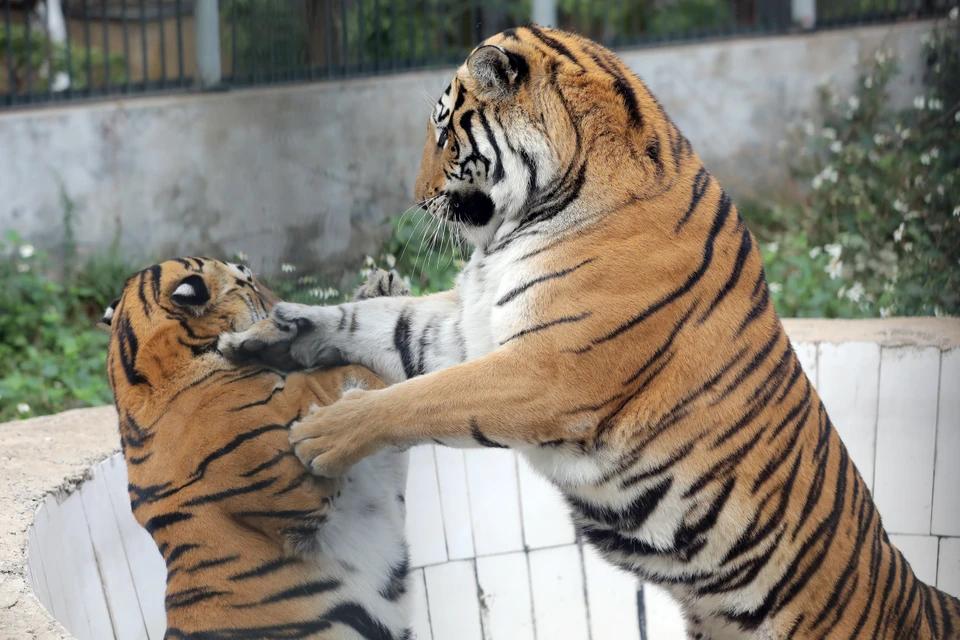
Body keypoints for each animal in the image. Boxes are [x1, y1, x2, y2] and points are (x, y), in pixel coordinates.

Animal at [100, 258, 412, 640]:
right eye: (249, 280)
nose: (281, 305)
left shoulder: (372, 476)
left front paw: (382, 289)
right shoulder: (297, 486)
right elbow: (328, 375)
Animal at [221, 26, 960, 640]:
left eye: (445, 135)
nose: (415, 196)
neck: (532, 212)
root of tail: (920, 599)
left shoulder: (547, 371)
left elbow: (420, 398)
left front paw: (322, 436)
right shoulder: (470, 328)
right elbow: (377, 322)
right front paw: (268, 334)